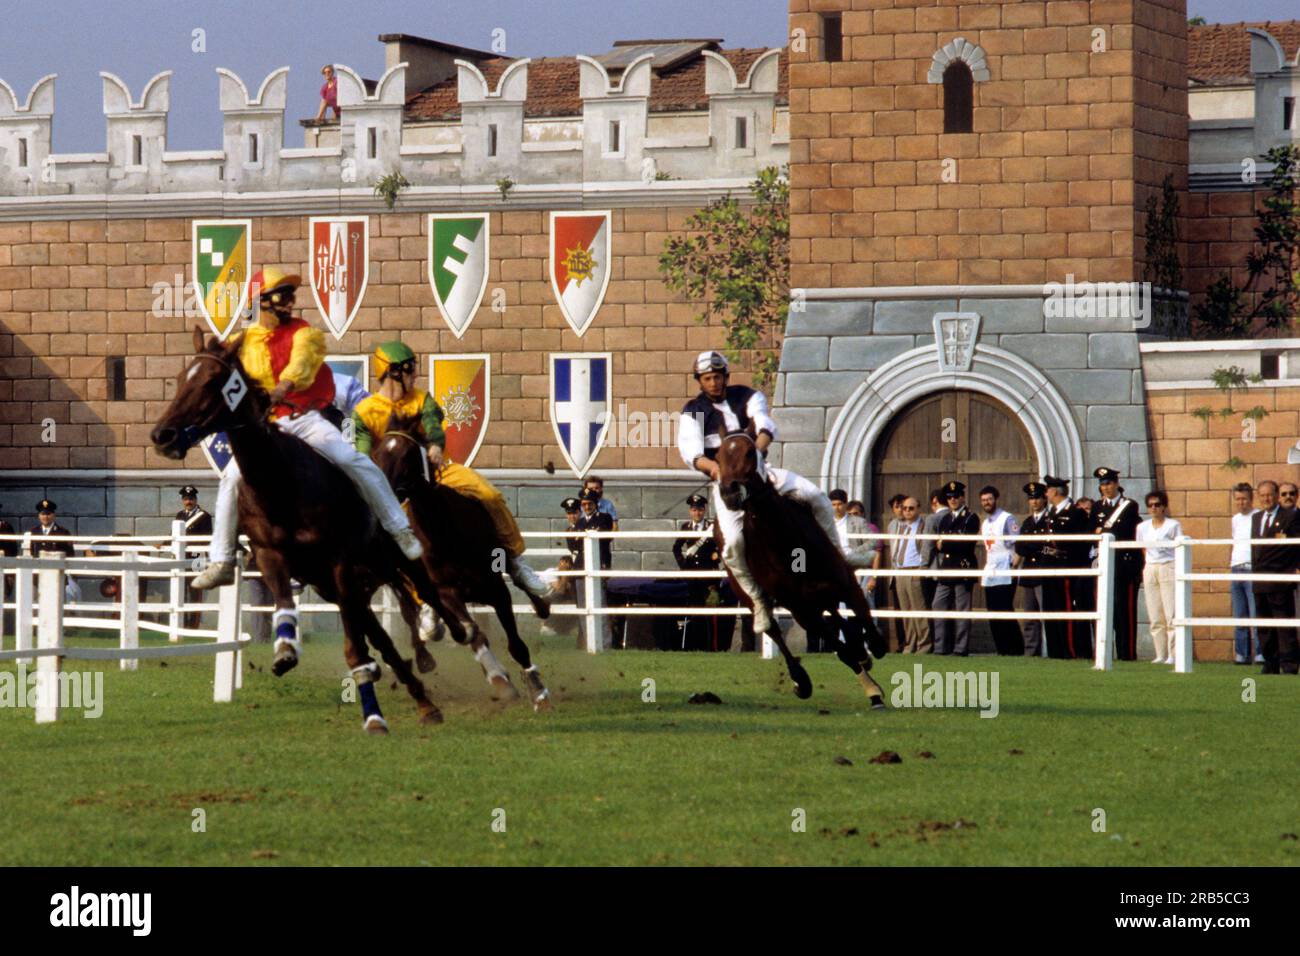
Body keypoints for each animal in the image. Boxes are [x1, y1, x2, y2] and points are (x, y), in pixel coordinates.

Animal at [151, 327, 475, 733]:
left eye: (211, 380)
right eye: (181, 378)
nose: (163, 435)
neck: (282, 482)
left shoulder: (340, 564)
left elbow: (360, 646)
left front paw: (374, 713)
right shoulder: (276, 558)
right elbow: (290, 606)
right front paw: (286, 649)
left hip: (391, 559)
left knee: (424, 593)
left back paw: (459, 632)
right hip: (343, 583)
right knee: (383, 633)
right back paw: (422, 696)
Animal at [369, 411, 551, 712]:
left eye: (407, 454)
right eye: (376, 455)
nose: (383, 494)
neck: (444, 531)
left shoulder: (496, 589)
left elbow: (516, 644)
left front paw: (538, 690)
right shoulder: (447, 592)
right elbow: (473, 633)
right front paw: (499, 679)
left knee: (521, 577)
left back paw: (539, 598)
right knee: (412, 611)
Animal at [707, 429, 889, 707]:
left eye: (749, 452)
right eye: (717, 457)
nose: (729, 493)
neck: (788, 544)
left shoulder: (845, 584)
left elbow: (865, 621)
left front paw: (871, 649)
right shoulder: (802, 610)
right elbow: (842, 650)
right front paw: (873, 691)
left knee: (838, 616)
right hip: (748, 592)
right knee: (773, 629)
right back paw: (800, 678)